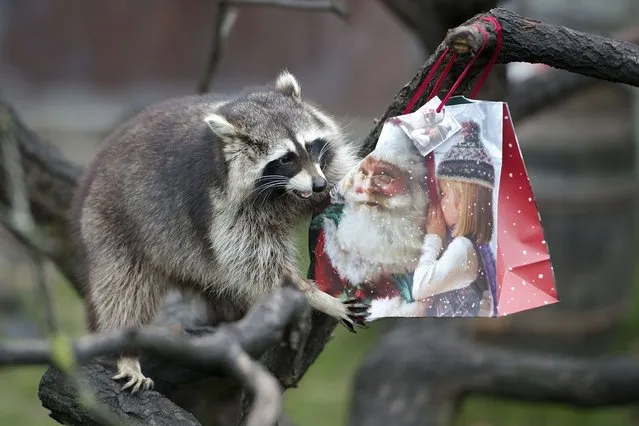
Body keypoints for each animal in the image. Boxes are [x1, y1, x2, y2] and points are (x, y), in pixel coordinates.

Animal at [69, 70, 370, 392]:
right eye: (285, 158)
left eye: (311, 145)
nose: (318, 185)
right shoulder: (223, 208)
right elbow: (257, 267)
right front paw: (318, 297)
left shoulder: (324, 167)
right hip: (110, 226)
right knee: (122, 290)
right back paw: (126, 352)